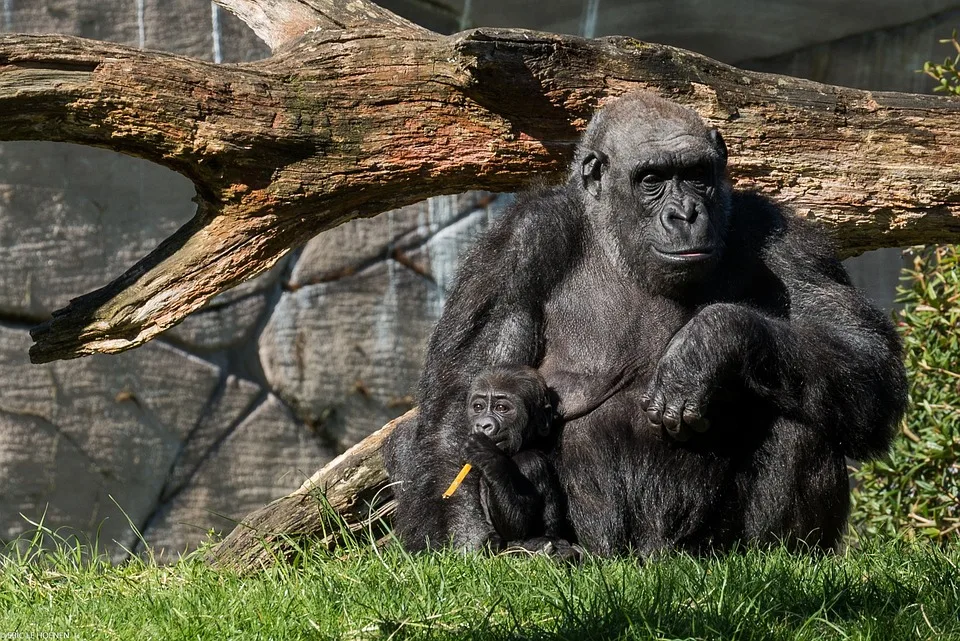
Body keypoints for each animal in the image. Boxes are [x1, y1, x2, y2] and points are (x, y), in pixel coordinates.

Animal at [456, 364, 564, 552]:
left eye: (501, 408)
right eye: (478, 407)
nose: (483, 424)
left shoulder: (529, 462)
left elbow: (518, 527)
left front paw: (486, 454)